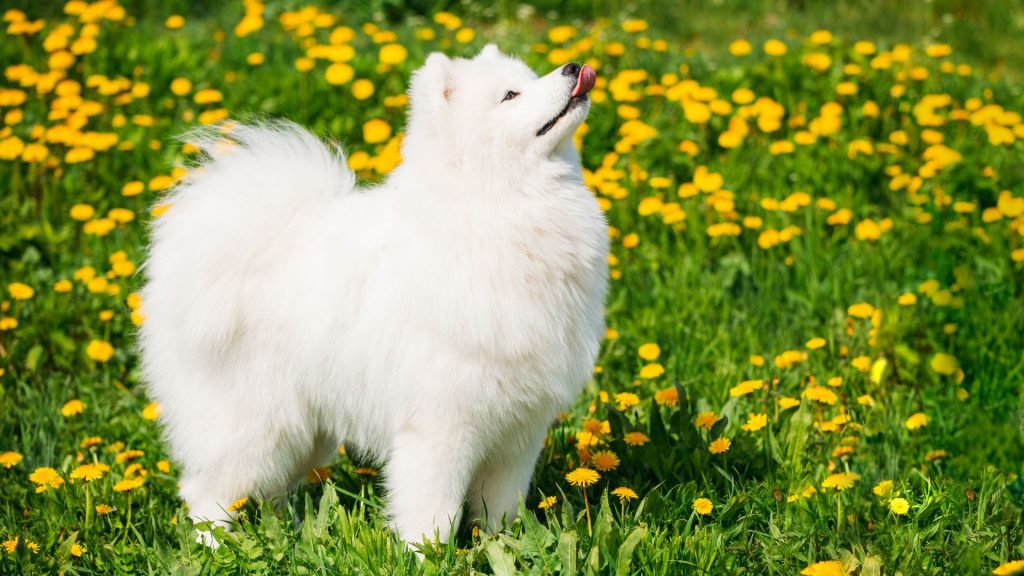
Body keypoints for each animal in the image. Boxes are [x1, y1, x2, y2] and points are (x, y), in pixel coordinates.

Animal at [139, 44, 602, 541]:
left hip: (306, 432)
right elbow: (432, 511)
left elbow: (501, 509)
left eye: (529, 79)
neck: (497, 208)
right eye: (510, 95)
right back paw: (216, 545)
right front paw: (426, 552)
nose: (574, 68)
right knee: (207, 492)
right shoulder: (439, 427)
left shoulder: (519, 432)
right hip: (257, 428)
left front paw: (503, 544)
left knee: (270, 490)